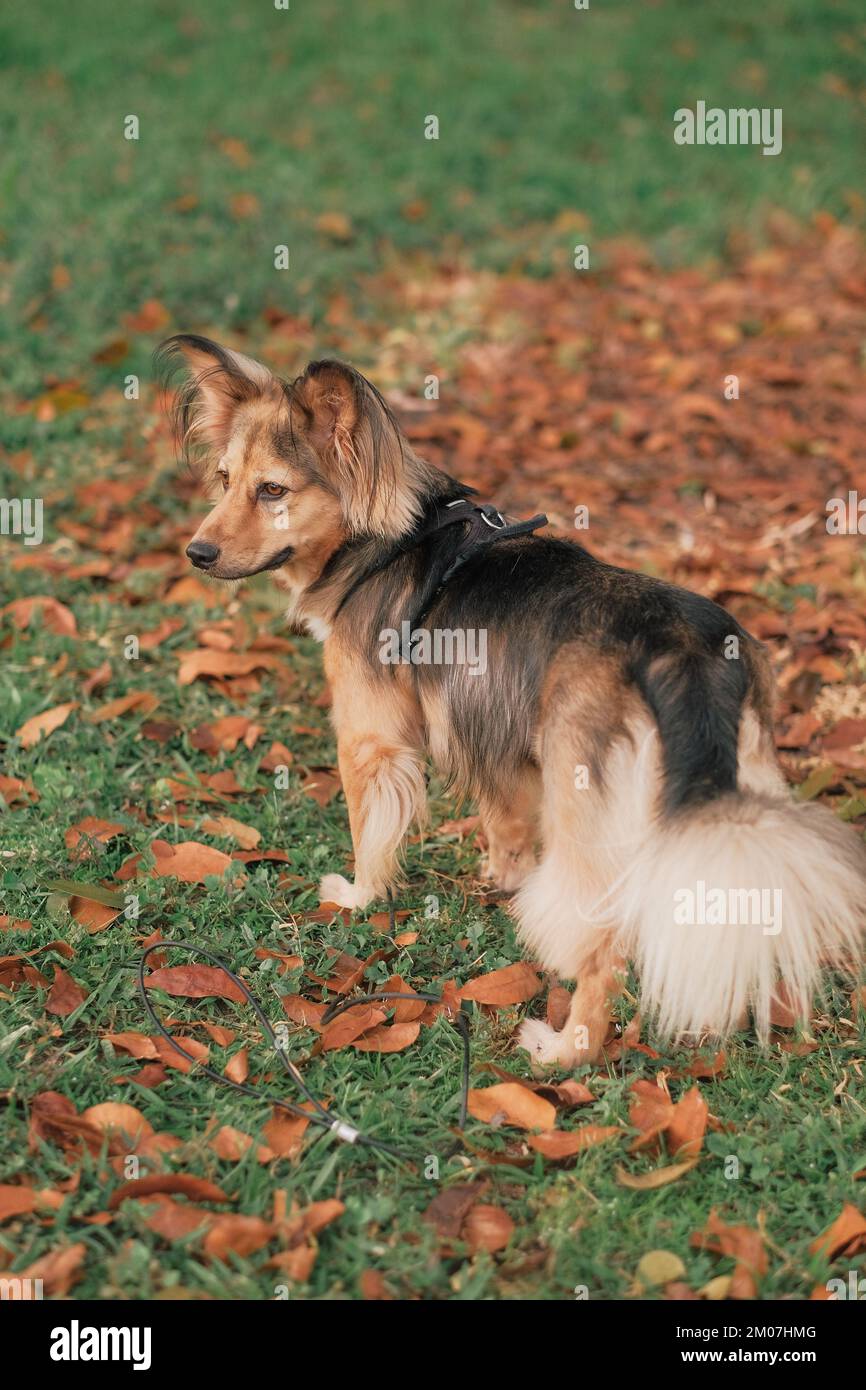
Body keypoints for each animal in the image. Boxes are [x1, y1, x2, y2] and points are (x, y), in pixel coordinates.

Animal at [157, 333, 866, 1061]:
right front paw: (504, 877)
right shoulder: (493, 731)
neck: (387, 544)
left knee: (602, 944)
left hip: (588, 814)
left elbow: (370, 833)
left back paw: (568, 1049)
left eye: (273, 490)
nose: (196, 553)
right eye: (223, 480)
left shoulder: (371, 742)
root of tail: (680, 649)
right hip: (738, 788)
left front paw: (357, 897)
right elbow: (504, 819)